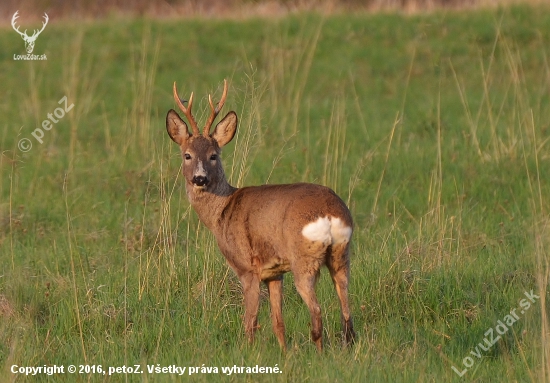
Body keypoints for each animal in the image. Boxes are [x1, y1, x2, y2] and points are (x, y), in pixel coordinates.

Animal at [167, 79, 358, 352]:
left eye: (214, 155)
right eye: (187, 155)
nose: (199, 178)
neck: (221, 213)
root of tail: (330, 213)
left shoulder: (247, 268)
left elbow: (250, 321)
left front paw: (248, 353)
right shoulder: (274, 271)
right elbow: (278, 322)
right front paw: (284, 353)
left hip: (304, 259)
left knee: (317, 311)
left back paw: (320, 353)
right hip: (342, 255)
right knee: (347, 313)